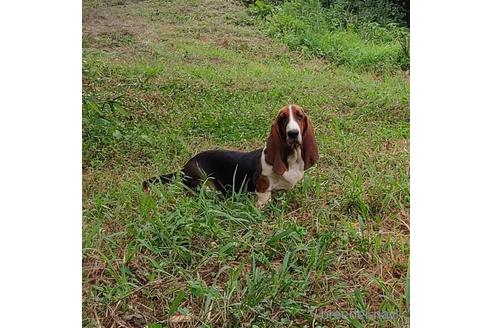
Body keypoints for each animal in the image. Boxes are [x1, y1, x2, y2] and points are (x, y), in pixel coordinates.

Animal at [142, 104, 320, 208]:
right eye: (283, 118)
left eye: (299, 116)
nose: (293, 133)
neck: (290, 159)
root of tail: (184, 167)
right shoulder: (262, 188)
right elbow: (264, 199)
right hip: (203, 183)